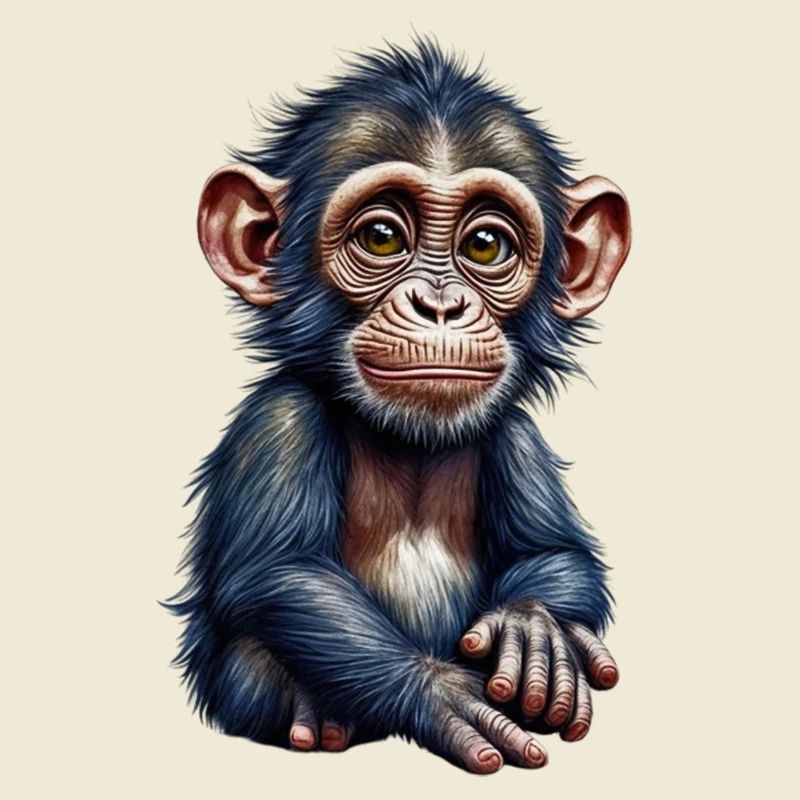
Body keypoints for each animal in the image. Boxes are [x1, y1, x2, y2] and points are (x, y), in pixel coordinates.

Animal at [166, 38, 631, 774]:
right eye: (382, 236)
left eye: (485, 246)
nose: (440, 305)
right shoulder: (279, 422)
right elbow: (282, 571)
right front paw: (441, 691)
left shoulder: (518, 435)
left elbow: (556, 548)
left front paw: (534, 628)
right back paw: (316, 719)